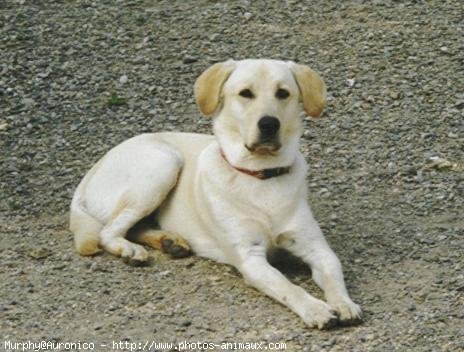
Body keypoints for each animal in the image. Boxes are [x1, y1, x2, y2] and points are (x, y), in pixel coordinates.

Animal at [70, 59, 362, 328]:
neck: (261, 175)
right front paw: (315, 309)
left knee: (134, 227)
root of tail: (92, 171)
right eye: (245, 93)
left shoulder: (316, 247)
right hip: (163, 164)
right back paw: (129, 250)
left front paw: (344, 304)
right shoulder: (250, 257)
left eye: (283, 93)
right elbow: (288, 287)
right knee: (108, 231)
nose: (269, 124)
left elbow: (334, 274)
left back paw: (169, 241)